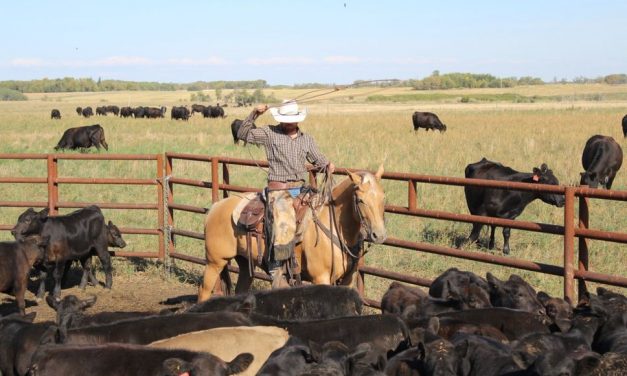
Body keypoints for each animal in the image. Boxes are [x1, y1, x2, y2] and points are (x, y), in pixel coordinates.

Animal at [200, 166, 388, 302]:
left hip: (245, 263)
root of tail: (215, 207)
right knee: (204, 291)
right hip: (215, 262)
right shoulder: (320, 278)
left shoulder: (348, 280)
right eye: (361, 200)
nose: (379, 235)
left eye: (383, 198)